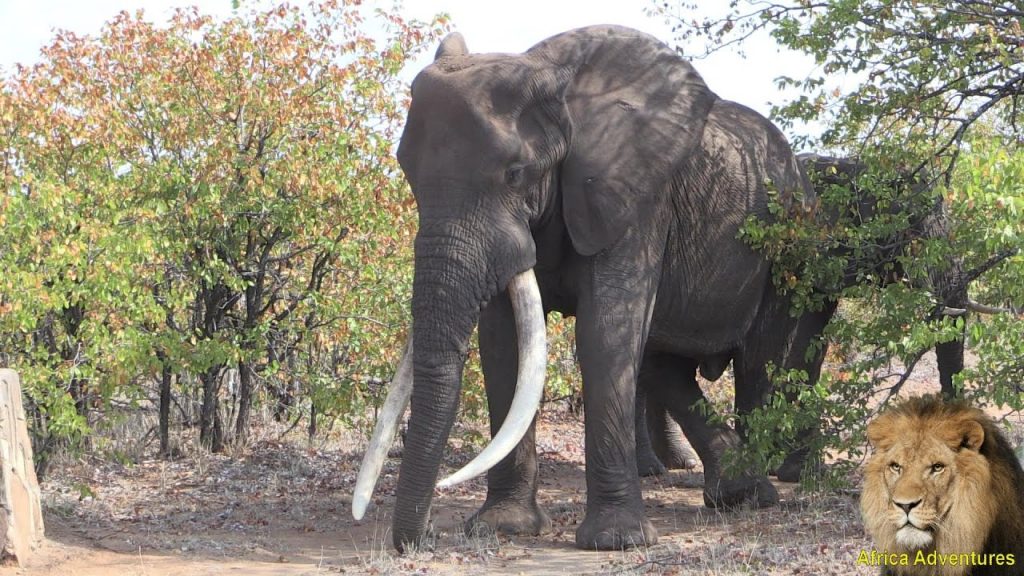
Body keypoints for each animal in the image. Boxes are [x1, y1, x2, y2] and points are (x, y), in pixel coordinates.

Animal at [350, 24, 815, 549]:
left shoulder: (633, 196)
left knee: (762, 361)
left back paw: (760, 496)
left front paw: (617, 541)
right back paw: (737, 493)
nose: (417, 539)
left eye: (516, 173)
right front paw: (503, 527)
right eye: (407, 171)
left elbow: (605, 333)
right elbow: (505, 345)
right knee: (664, 366)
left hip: (793, 246)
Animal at [634, 151, 970, 479]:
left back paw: (680, 463)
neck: (849, 164)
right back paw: (651, 469)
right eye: (910, 223)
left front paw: (796, 469)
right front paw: (786, 469)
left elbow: (810, 352)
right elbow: (784, 350)